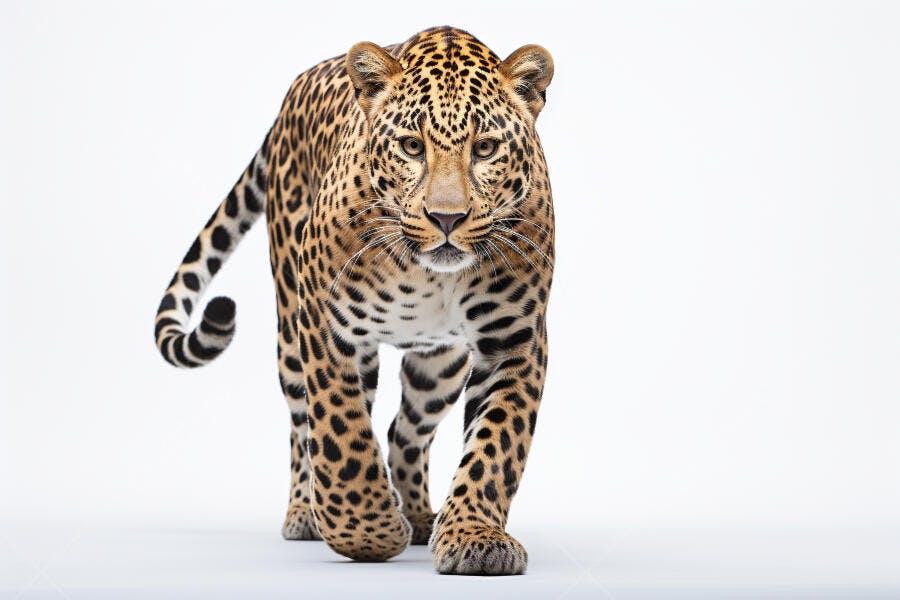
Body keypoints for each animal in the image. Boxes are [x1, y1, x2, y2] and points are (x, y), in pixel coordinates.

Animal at [154, 26, 554, 575]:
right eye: (411, 146)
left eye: (486, 148)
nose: (446, 218)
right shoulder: (328, 325)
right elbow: (340, 435)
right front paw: (367, 533)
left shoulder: (515, 340)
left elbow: (496, 446)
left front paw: (474, 537)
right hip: (290, 331)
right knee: (302, 426)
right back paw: (307, 514)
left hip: (442, 366)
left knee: (403, 432)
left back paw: (420, 515)